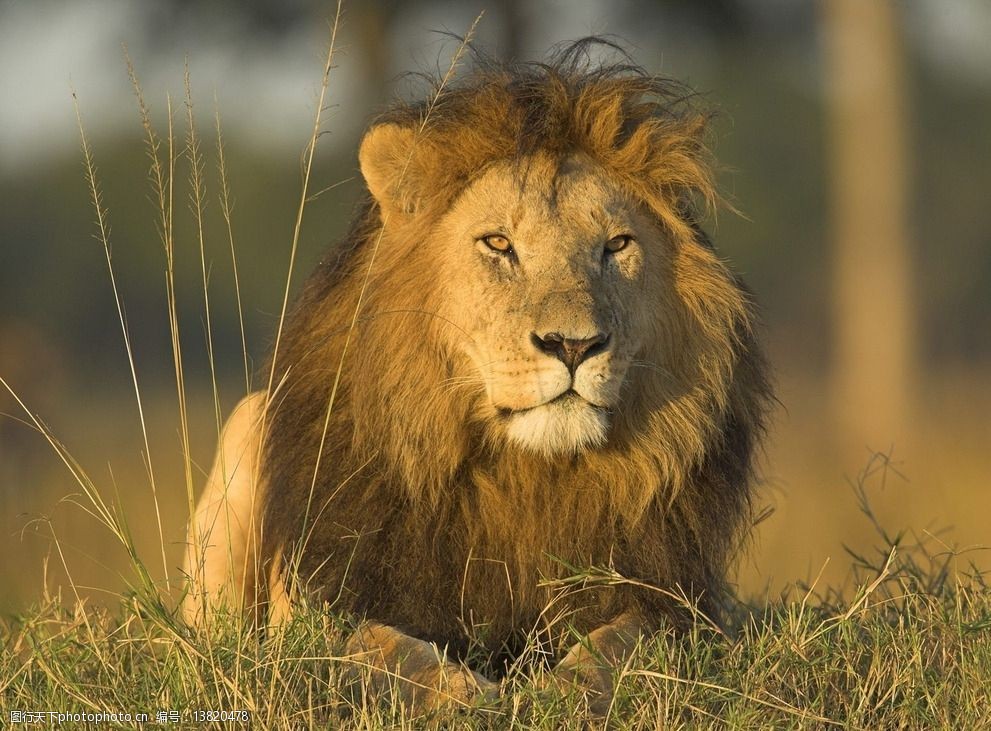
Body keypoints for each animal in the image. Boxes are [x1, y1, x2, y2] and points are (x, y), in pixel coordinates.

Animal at [184, 40, 776, 716]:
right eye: (498, 244)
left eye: (617, 245)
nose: (573, 345)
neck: (528, 477)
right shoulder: (330, 597)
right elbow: (386, 649)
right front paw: (465, 697)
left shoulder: (674, 599)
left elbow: (622, 643)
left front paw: (563, 693)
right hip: (246, 428)